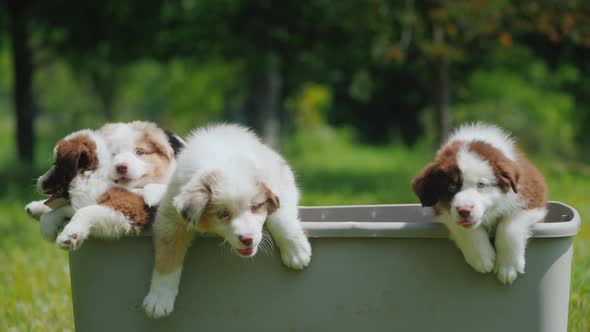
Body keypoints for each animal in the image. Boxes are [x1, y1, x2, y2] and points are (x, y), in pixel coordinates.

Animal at [144, 124, 314, 320]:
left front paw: (296, 252)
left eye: (255, 207)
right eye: (223, 213)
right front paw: (158, 299)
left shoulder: (281, 181)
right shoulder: (171, 217)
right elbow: (167, 256)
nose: (247, 239)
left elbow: (280, 217)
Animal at [414, 123, 548, 284]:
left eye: (481, 185)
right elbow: (463, 227)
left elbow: (510, 226)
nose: (464, 211)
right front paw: (481, 258)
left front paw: (508, 266)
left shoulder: (533, 196)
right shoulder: (442, 210)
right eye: (451, 186)